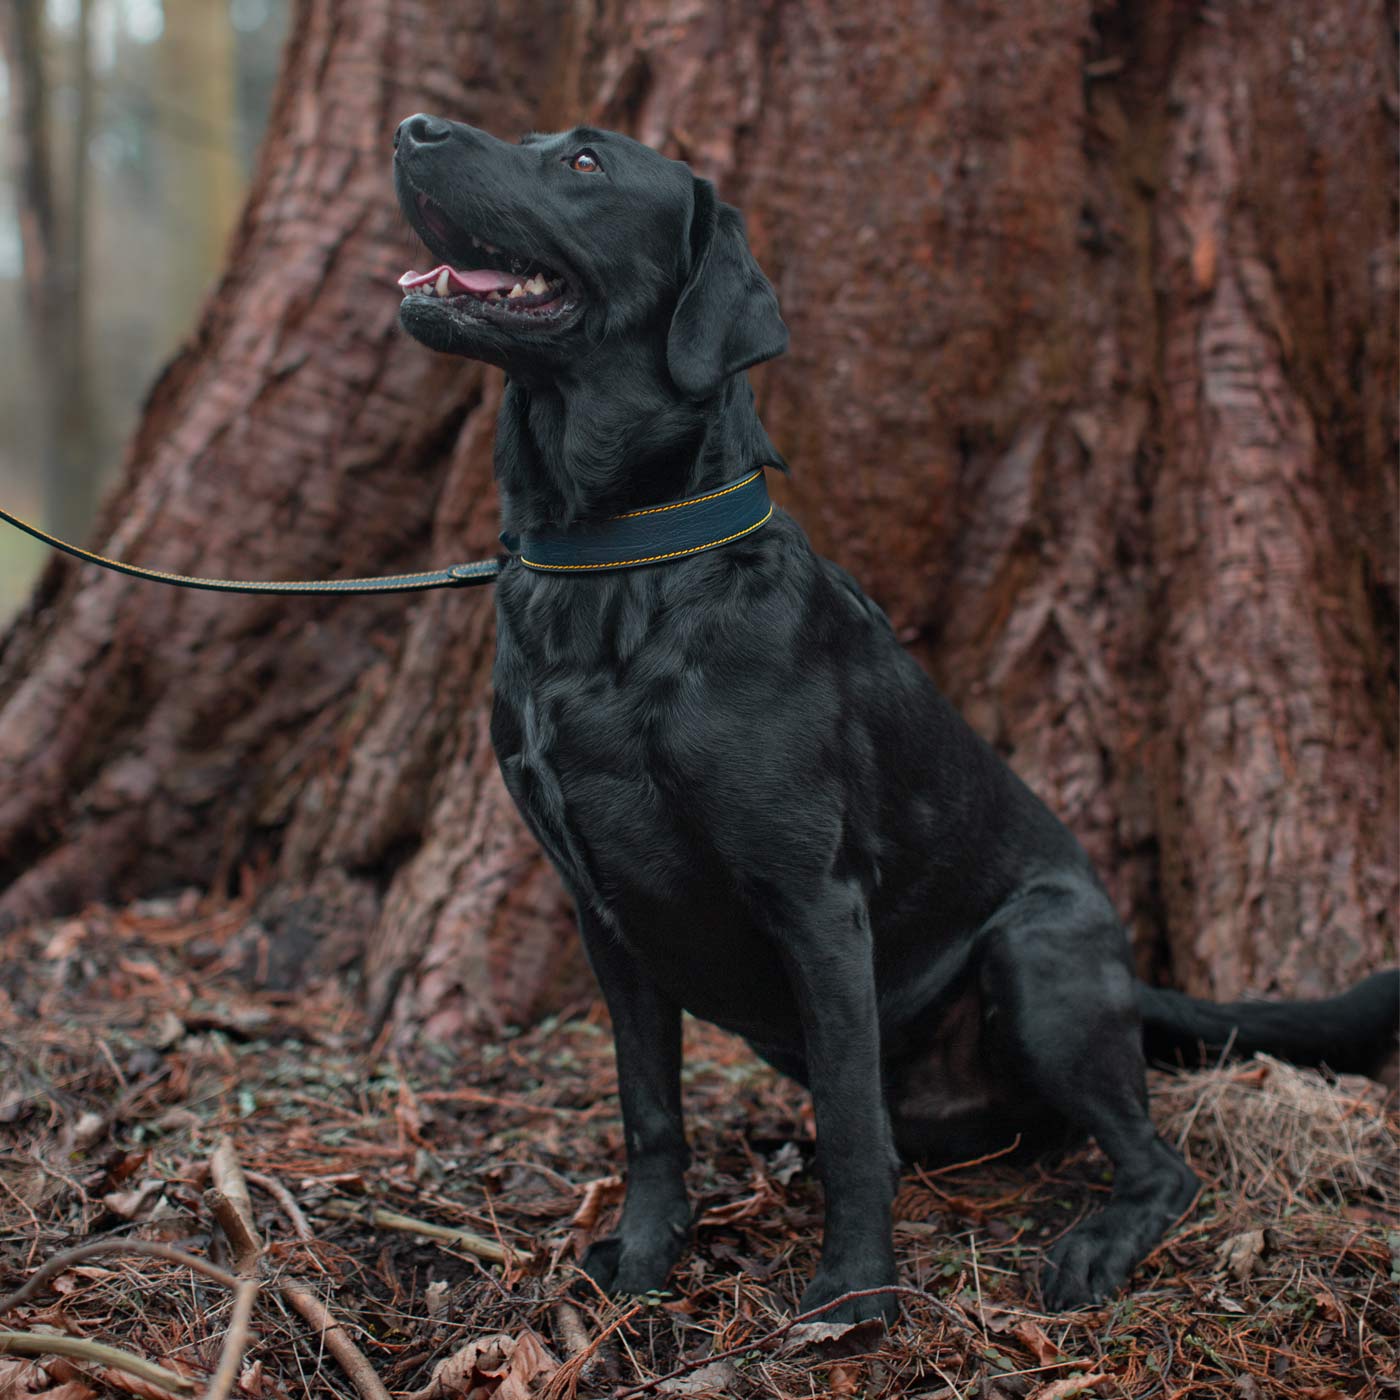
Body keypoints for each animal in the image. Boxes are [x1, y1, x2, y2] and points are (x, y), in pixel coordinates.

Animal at [392, 114, 1400, 1316]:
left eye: (584, 162)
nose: (412, 128)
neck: (619, 563)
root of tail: (1129, 974)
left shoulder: (814, 900)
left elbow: (846, 1115)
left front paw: (853, 1298)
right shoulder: (606, 914)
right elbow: (649, 1112)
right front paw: (642, 1256)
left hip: (1036, 957)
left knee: (1159, 1161)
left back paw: (1095, 1246)